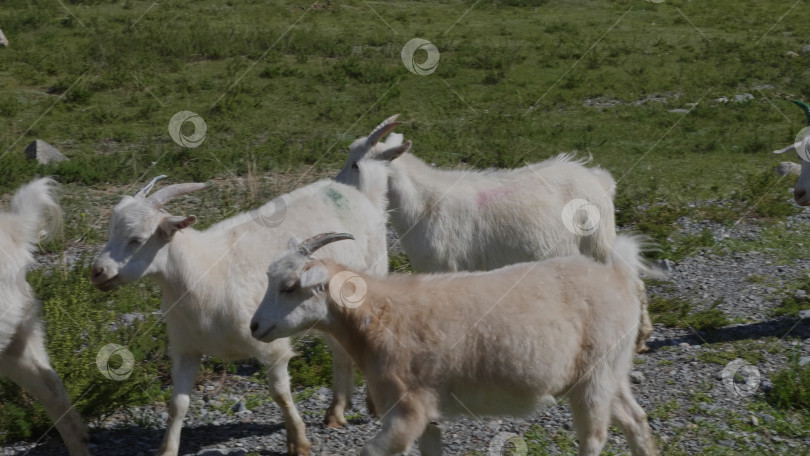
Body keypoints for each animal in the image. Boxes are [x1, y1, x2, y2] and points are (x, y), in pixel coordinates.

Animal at [90, 176, 386, 454]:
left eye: (137, 240)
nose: (97, 272)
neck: (205, 272)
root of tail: (350, 191)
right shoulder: (186, 348)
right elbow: (178, 404)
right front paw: (167, 449)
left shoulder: (272, 345)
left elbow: (280, 394)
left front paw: (299, 442)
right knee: (340, 351)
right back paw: (336, 411)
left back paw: (372, 405)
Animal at [251, 233, 656, 454]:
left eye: (290, 287)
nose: (255, 326)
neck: (378, 314)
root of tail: (620, 275)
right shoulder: (428, 411)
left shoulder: (407, 409)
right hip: (611, 370)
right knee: (635, 419)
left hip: (596, 375)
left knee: (594, 437)